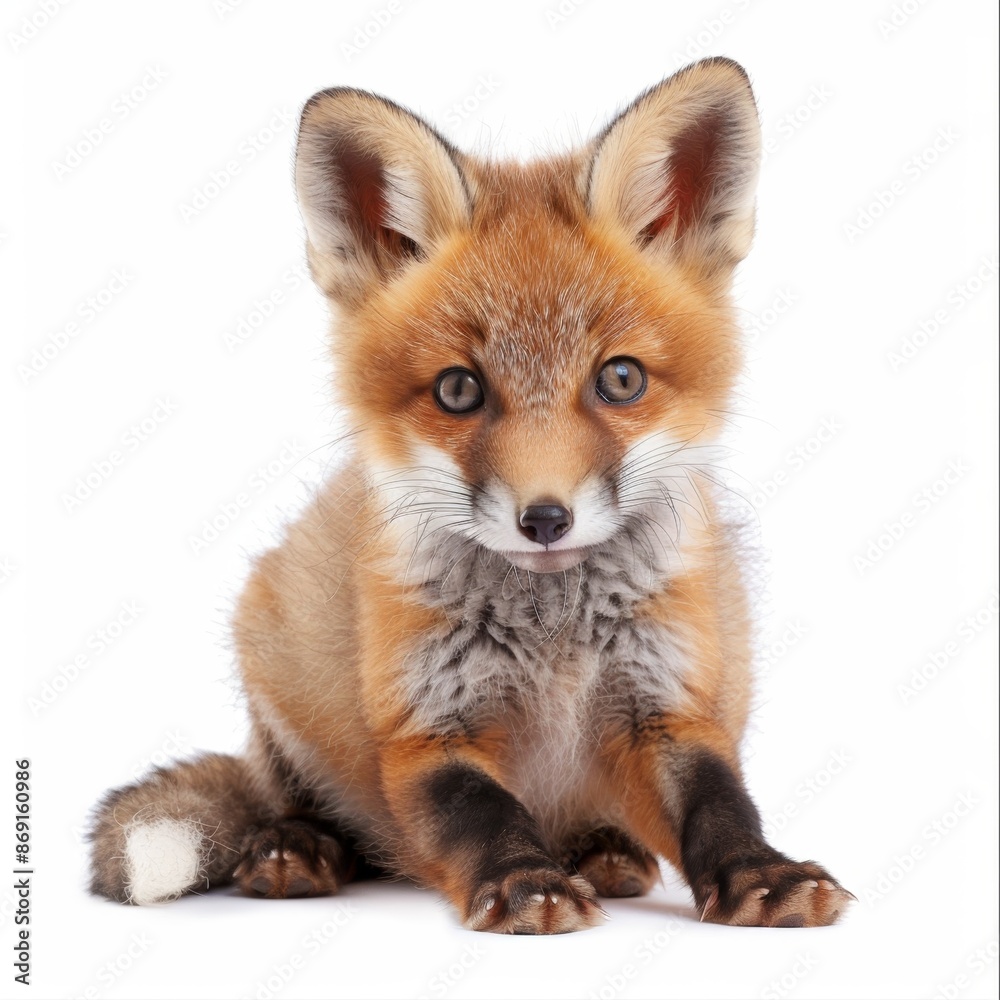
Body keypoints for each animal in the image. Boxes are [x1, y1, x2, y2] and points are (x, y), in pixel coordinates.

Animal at [89, 56, 853, 933]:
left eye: (620, 380)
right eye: (458, 390)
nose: (546, 518)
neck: (556, 639)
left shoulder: (668, 701)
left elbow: (719, 802)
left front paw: (762, 872)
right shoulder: (426, 726)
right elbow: (480, 813)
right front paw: (526, 884)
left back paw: (602, 851)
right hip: (278, 667)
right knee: (291, 799)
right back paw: (297, 846)